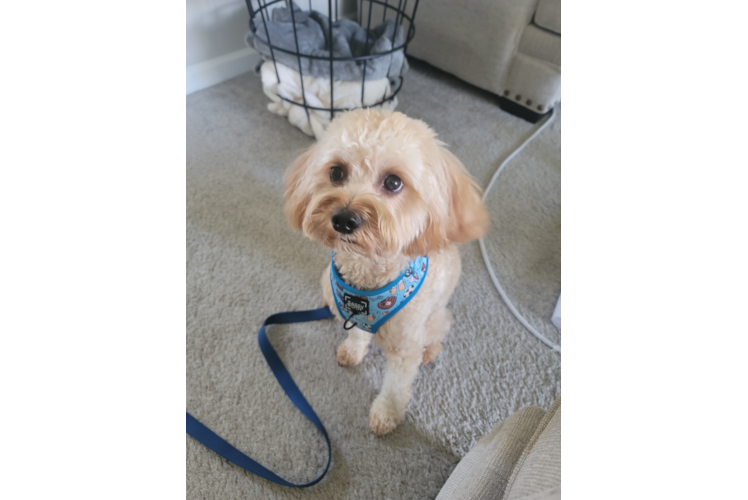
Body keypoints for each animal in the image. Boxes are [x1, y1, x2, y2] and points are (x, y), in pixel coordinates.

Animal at [284, 108, 488, 434]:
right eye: (336, 173)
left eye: (393, 182)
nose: (344, 220)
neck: (367, 281)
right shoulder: (352, 315)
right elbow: (357, 336)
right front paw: (353, 351)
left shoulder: (405, 348)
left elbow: (395, 386)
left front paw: (386, 414)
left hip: (434, 319)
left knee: (441, 329)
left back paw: (430, 351)